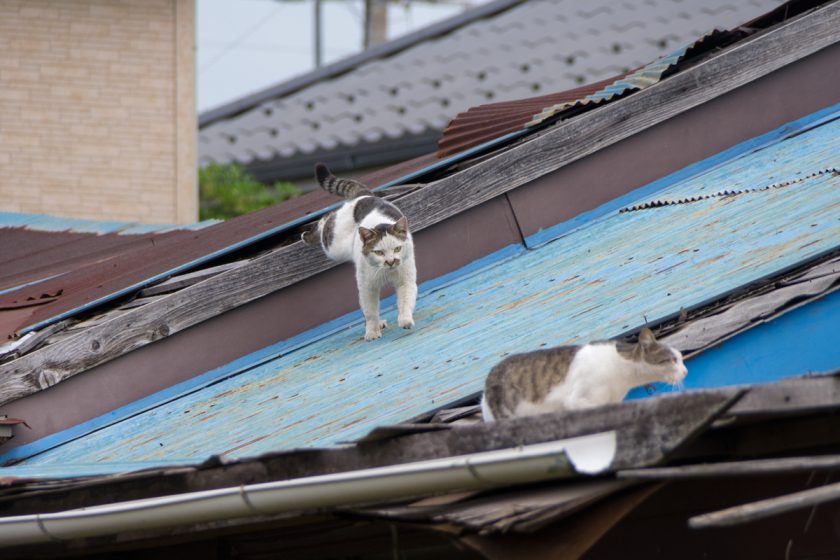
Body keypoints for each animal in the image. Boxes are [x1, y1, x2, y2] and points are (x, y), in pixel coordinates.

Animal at [304, 164, 418, 342]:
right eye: (378, 252)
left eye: (397, 249)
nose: (391, 261)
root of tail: (364, 196)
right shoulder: (367, 287)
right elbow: (370, 312)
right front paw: (372, 332)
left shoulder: (405, 279)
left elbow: (405, 301)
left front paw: (405, 320)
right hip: (335, 246)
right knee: (326, 219)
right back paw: (307, 235)